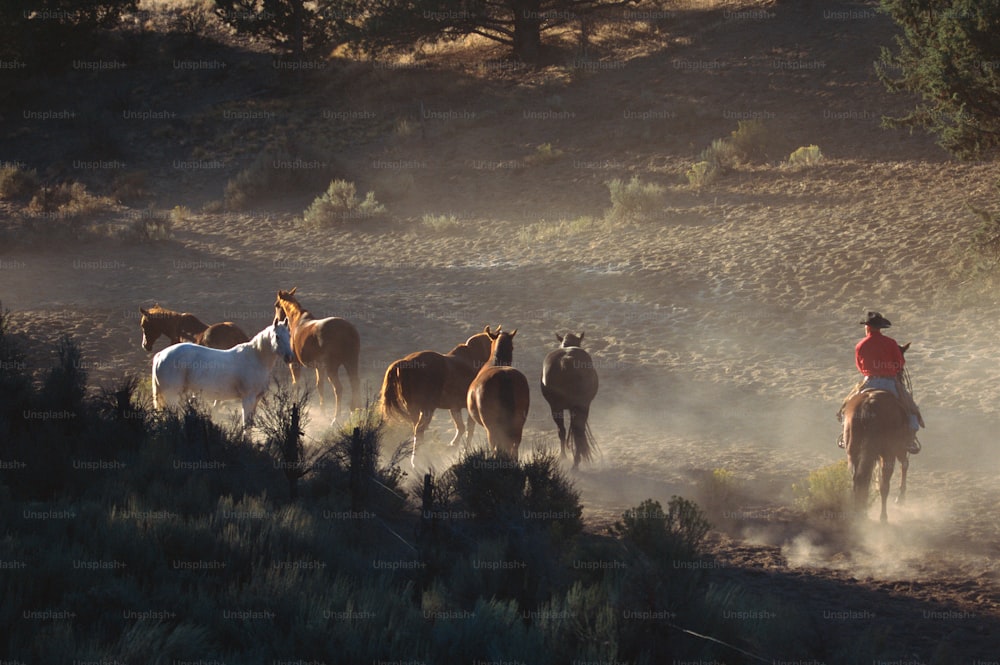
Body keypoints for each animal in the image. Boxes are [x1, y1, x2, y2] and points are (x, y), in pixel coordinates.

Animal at [150, 320, 294, 426]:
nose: (289, 357)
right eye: (277, 336)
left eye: (289, 335)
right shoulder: (248, 399)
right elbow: (246, 426)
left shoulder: (256, 399)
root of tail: (160, 355)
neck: (255, 358)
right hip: (172, 396)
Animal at [276, 284, 362, 420]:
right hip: (351, 363)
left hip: (333, 368)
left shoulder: (294, 364)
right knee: (355, 384)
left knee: (338, 388)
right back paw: (355, 412)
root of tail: (347, 330)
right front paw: (322, 412)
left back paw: (336, 418)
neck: (297, 321)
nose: (277, 319)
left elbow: (296, 384)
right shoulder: (319, 367)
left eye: (276, 305)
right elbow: (319, 386)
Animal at [378, 326, 496, 462]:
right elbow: (469, 429)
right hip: (427, 409)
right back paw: (418, 460)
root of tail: (405, 363)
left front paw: (452, 447)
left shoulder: (454, 407)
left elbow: (461, 427)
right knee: (419, 430)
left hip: (414, 410)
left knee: (417, 431)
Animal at [544, 330, 596, 466]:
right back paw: (575, 461)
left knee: (563, 431)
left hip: (557, 408)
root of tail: (567, 360)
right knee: (576, 432)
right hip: (578, 407)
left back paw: (566, 457)